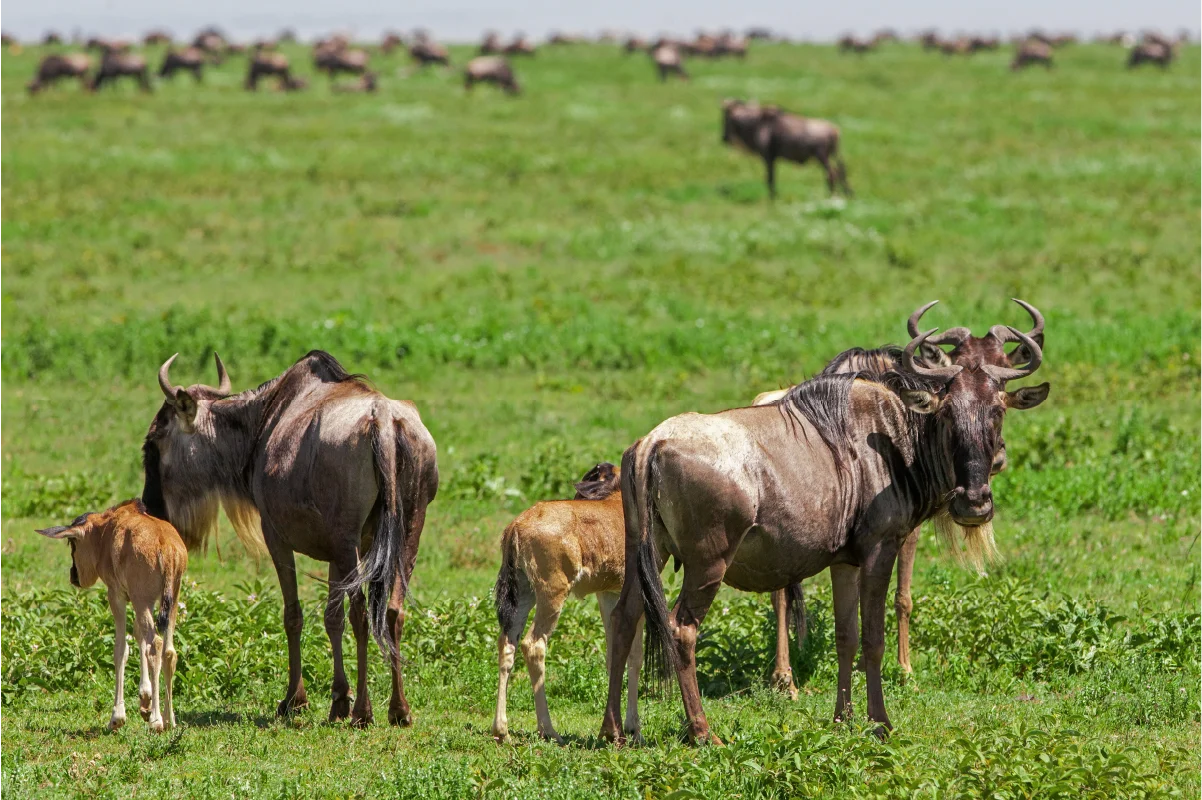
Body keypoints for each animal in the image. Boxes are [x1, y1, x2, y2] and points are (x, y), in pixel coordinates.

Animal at [37, 499, 187, 733]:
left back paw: (156, 721)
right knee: (169, 651)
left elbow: (121, 649)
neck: (106, 532)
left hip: (142, 599)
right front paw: (144, 698)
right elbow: (138, 637)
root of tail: (167, 547)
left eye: (72, 543)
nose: (73, 575)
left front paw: (117, 717)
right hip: (170, 600)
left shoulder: (117, 595)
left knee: (155, 645)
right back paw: (169, 719)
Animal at [141, 350, 439, 726]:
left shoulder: (277, 537)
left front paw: (294, 700)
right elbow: (331, 618)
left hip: (350, 540)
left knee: (360, 614)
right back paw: (399, 710)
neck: (260, 425)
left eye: (155, 440)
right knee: (393, 611)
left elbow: (293, 615)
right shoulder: (336, 552)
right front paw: (338, 701)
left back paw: (363, 712)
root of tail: (383, 420)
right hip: (408, 533)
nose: (149, 506)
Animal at [599, 302, 1049, 744]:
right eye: (949, 412)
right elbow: (873, 639)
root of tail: (653, 442)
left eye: (998, 409)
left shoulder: (844, 561)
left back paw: (613, 730)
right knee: (681, 629)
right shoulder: (881, 547)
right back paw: (703, 732)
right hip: (707, 564)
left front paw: (841, 719)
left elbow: (845, 637)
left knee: (623, 618)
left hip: (646, 554)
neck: (896, 436)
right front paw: (880, 723)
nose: (974, 504)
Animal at [721, 99, 852, 198]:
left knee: (831, 173)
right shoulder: (772, 158)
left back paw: (831, 195)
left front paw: (772, 198)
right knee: (840, 172)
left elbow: (770, 178)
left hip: (822, 156)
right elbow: (772, 178)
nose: (724, 138)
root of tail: (835, 131)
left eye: (725, 118)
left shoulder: (768, 156)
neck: (758, 124)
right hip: (831, 155)